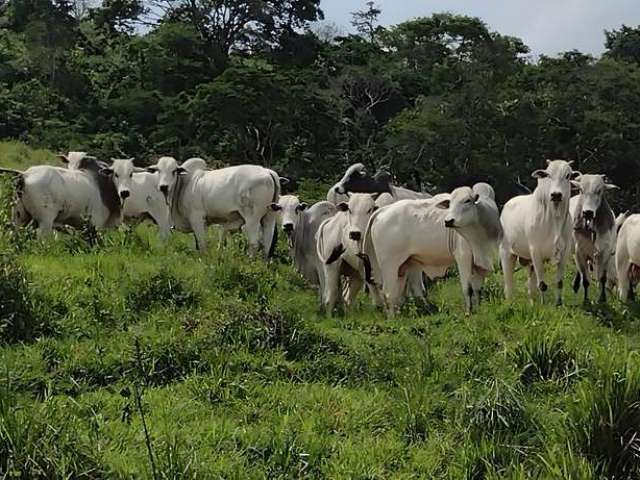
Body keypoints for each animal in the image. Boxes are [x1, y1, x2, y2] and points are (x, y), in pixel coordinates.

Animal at [150, 158, 282, 256]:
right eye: (158, 171)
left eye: (174, 171)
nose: (163, 186)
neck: (185, 184)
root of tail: (267, 171)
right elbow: (197, 243)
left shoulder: (197, 218)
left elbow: (202, 244)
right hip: (269, 217)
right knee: (268, 242)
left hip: (252, 219)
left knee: (254, 243)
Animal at [362, 184, 502, 316]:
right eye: (450, 203)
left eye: (467, 200)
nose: (449, 221)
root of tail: (383, 210)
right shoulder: (464, 256)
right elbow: (468, 288)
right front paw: (468, 313)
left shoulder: (480, 261)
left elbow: (478, 288)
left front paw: (478, 309)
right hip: (389, 265)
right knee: (388, 293)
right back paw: (393, 318)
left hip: (404, 265)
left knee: (399, 293)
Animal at [568, 175, 620, 304]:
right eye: (581, 190)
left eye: (599, 191)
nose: (588, 212)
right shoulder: (580, 252)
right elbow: (586, 279)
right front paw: (586, 300)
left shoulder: (605, 252)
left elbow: (602, 278)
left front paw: (602, 298)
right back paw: (576, 284)